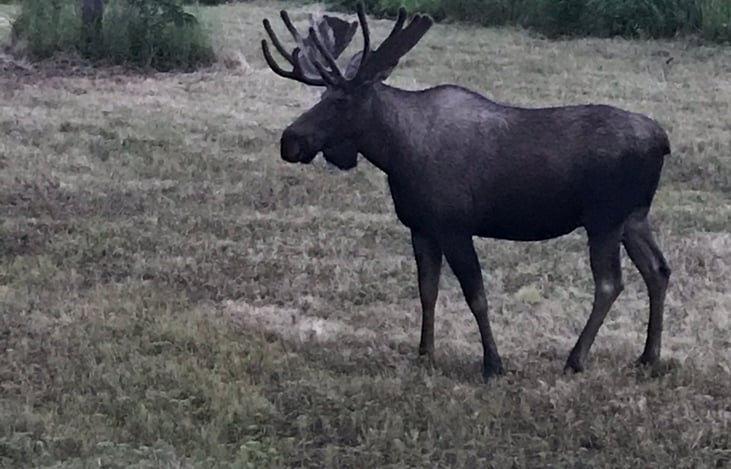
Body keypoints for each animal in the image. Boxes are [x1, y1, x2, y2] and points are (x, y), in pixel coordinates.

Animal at [260, 3, 672, 380]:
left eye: (340, 100)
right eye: (320, 97)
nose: (289, 141)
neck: (396, 155)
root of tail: (663, 142)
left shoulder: (455, 226)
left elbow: (477, 296)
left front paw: (493, 364)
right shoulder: (420, 227)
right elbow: (427, 291)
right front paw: (425, 354)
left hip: (605, 218)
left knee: (609, 282)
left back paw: (576, 359)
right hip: (635, 217)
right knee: (658, 270)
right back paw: (648, 357)